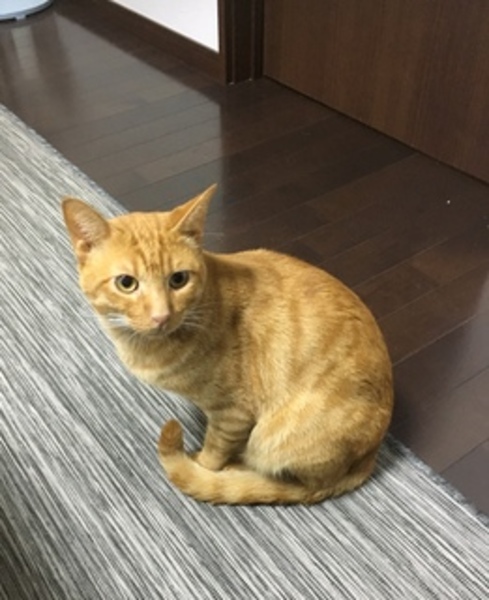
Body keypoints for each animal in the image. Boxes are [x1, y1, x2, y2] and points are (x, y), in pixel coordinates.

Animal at [62, 184, 393, 505]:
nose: (161, 316)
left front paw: (203, 466)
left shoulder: (233, 414)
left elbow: (213, 453)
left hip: (274, 440)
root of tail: (369, 459)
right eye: (126, 283)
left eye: (178, 279)